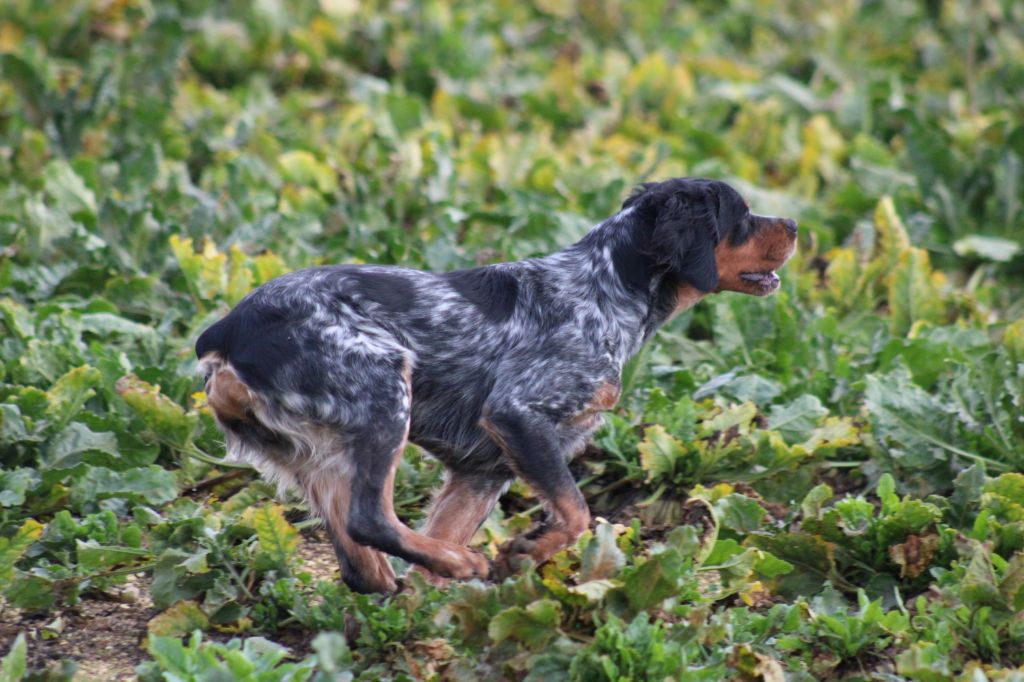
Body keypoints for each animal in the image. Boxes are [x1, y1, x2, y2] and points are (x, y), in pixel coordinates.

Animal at [193, 175, 798, 589]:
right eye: (742, 216)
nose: (795, 225)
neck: (604, 288)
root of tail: (226, 332)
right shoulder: (518, 413)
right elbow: (576, 512)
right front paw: (524, 553)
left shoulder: (481, 470)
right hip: (383, 390)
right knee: (370, 520)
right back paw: (466, 563)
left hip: (318, 456)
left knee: (362, 564)